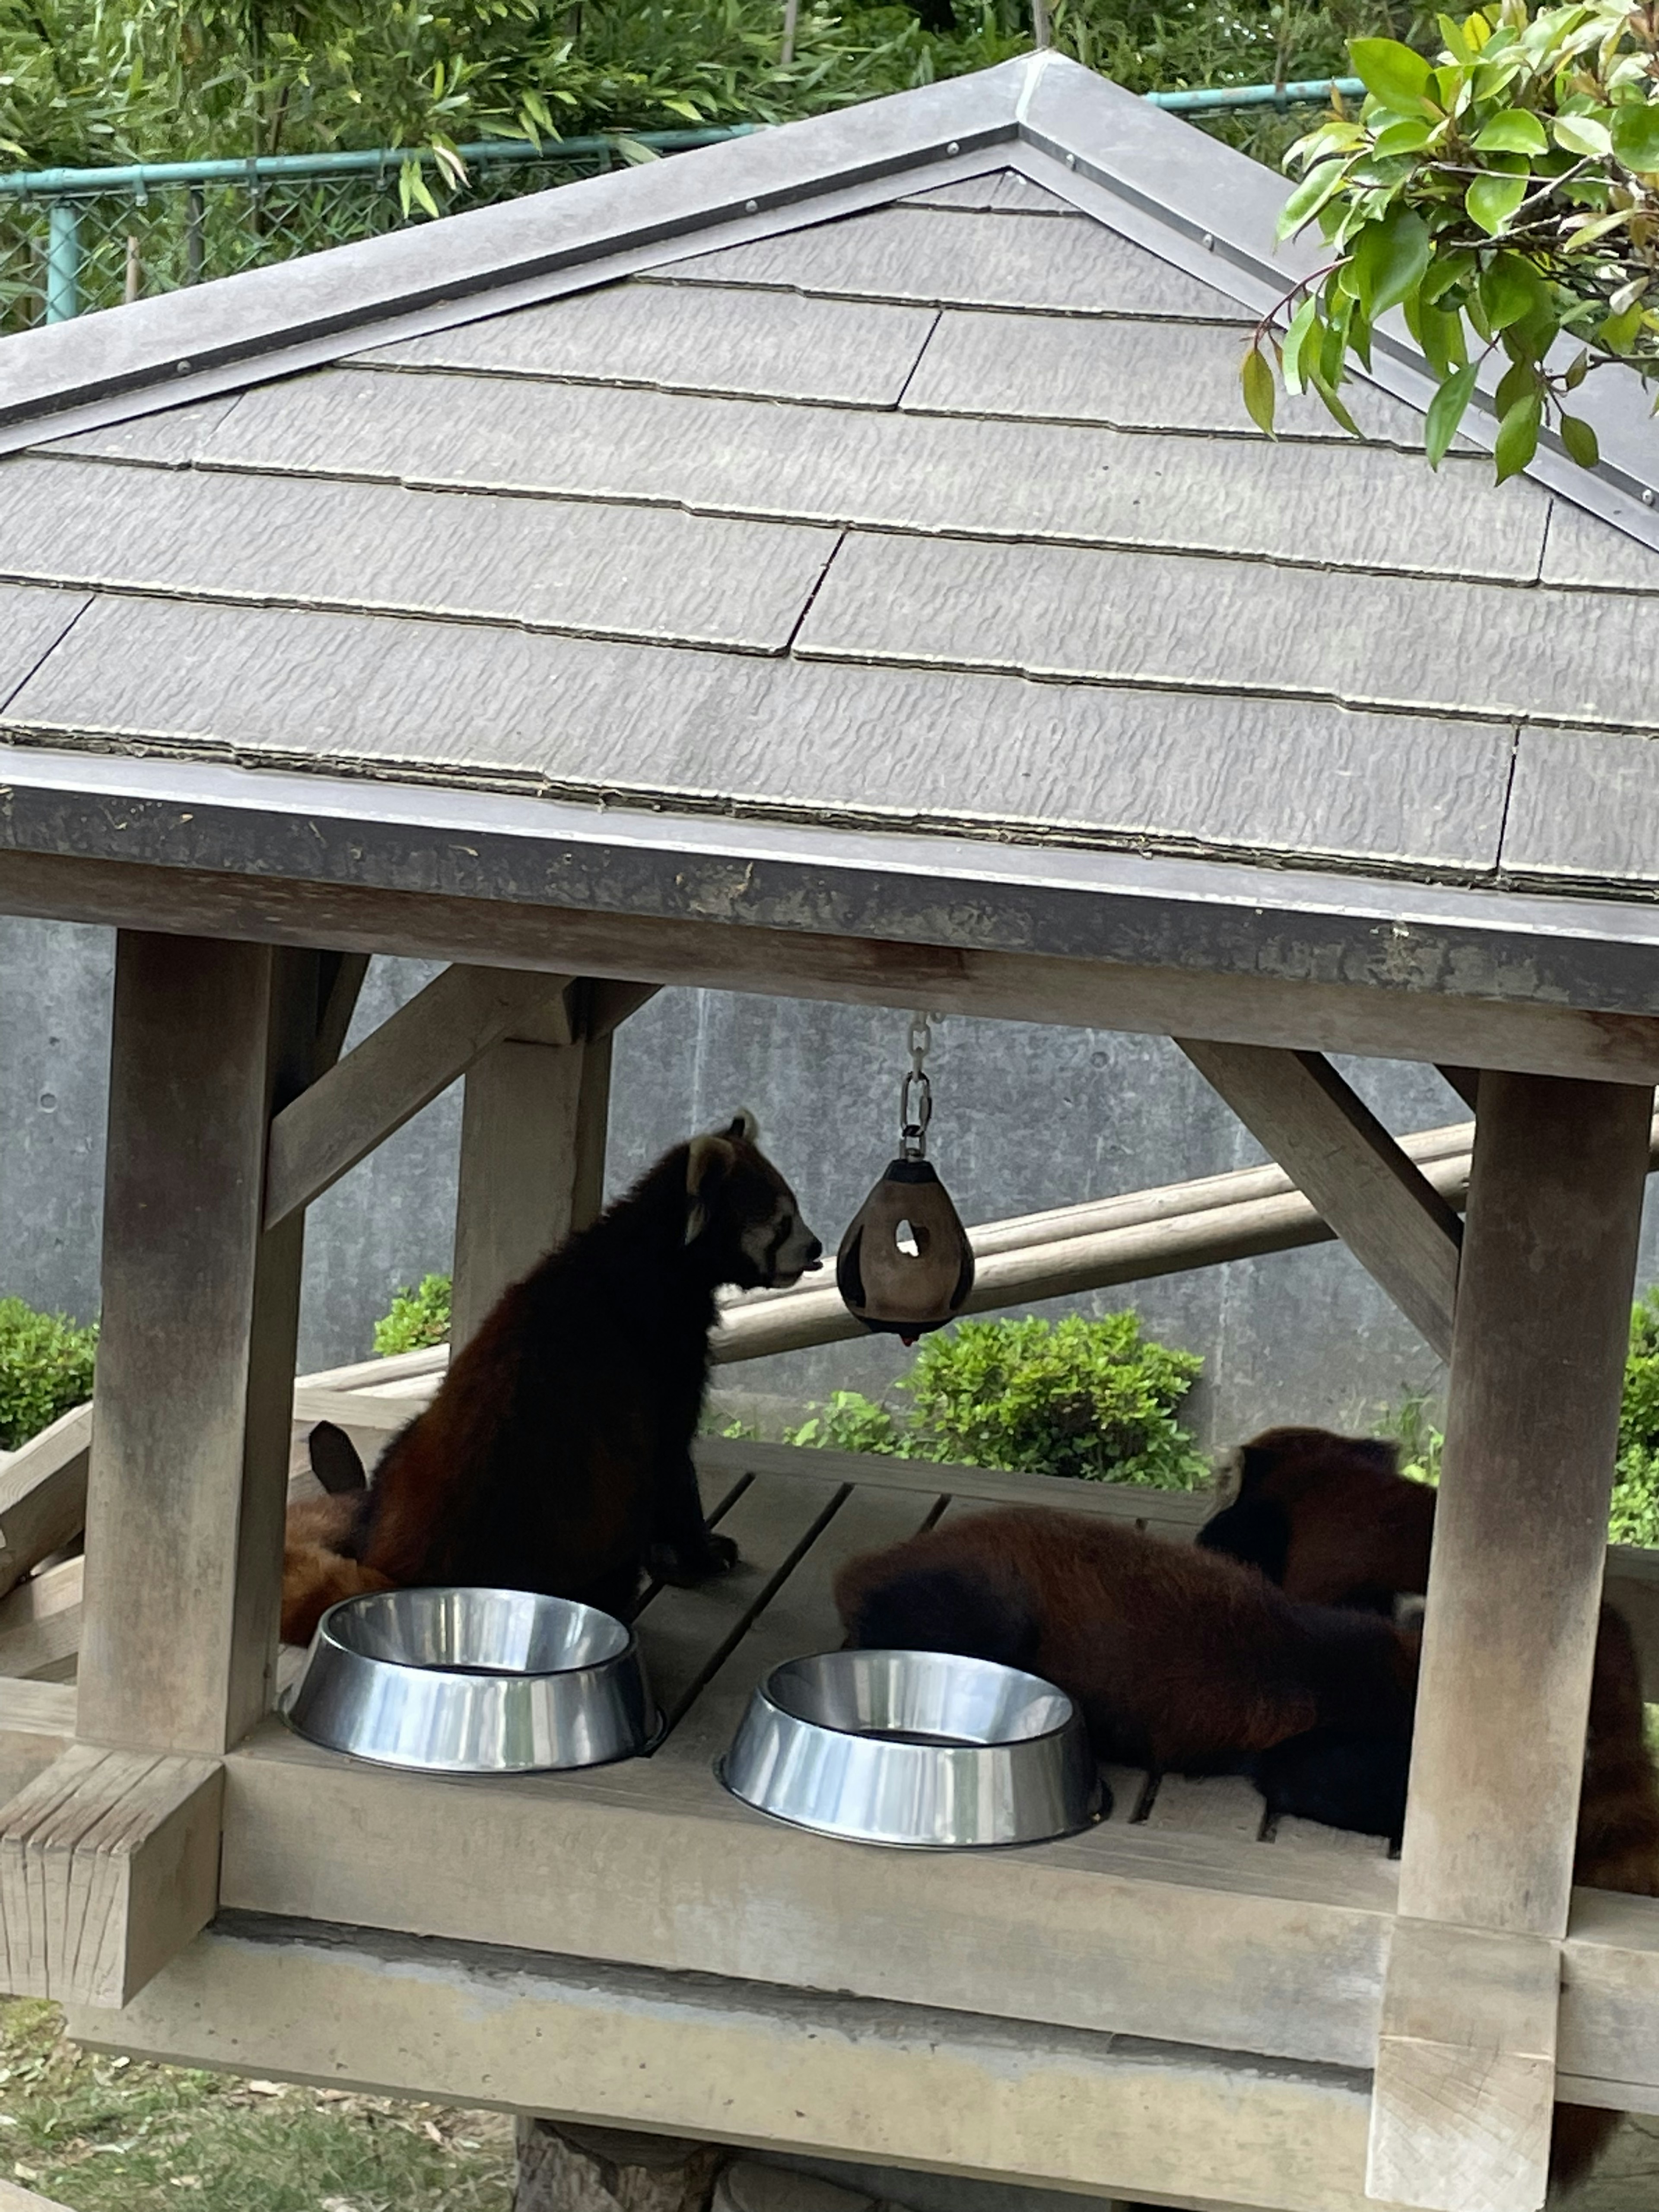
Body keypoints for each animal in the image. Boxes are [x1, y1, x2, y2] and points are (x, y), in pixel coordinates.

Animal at [287, 1123, 832, 1646]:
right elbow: (673, 1465)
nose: (818, 1247)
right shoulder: (662, 1352)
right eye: (783, 1222)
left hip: (405, 1453)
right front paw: (699, 1553)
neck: (650, 1250)